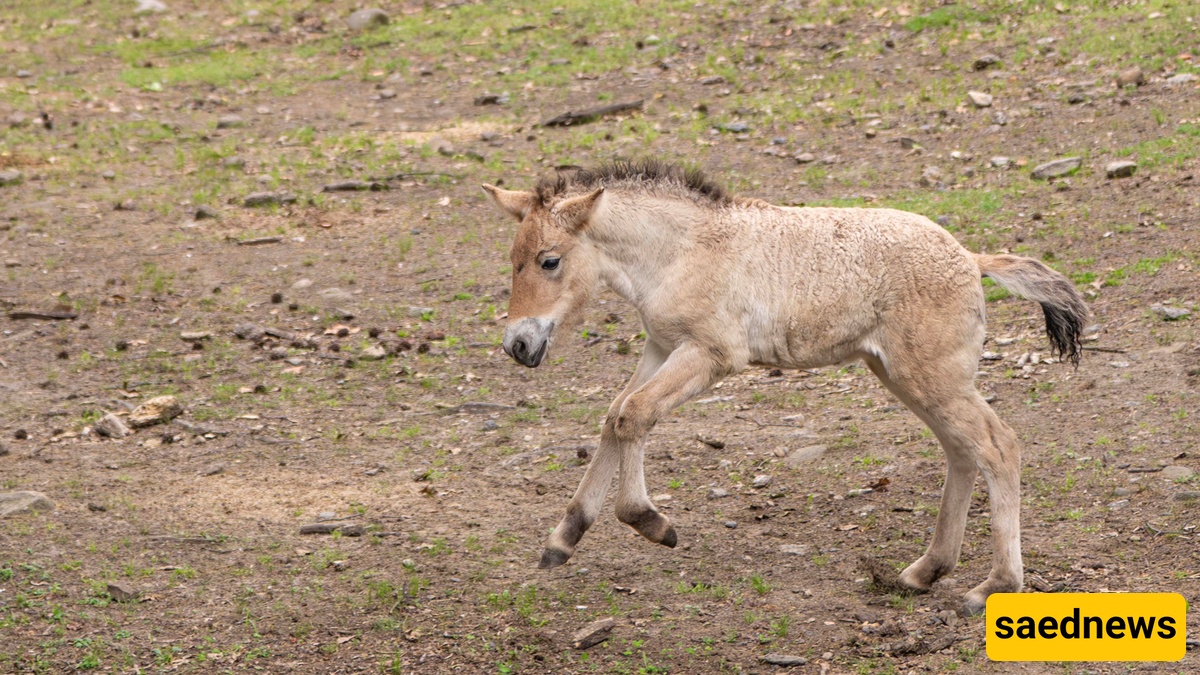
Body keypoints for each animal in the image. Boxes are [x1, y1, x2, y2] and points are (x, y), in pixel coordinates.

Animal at [482, 159, 1088, 615]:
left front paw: (652, 523)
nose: (518, 344)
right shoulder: (660, 346)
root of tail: (971, 257)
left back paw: (993, 586)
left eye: (549, 261)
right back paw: (924, 571)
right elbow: (616, 415)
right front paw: (562, 539)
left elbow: (634, 414)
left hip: (930, 376)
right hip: (903, 375)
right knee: (963, 452)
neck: (682, 250)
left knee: (998, 445)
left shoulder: (711, 354)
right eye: (511, 261)